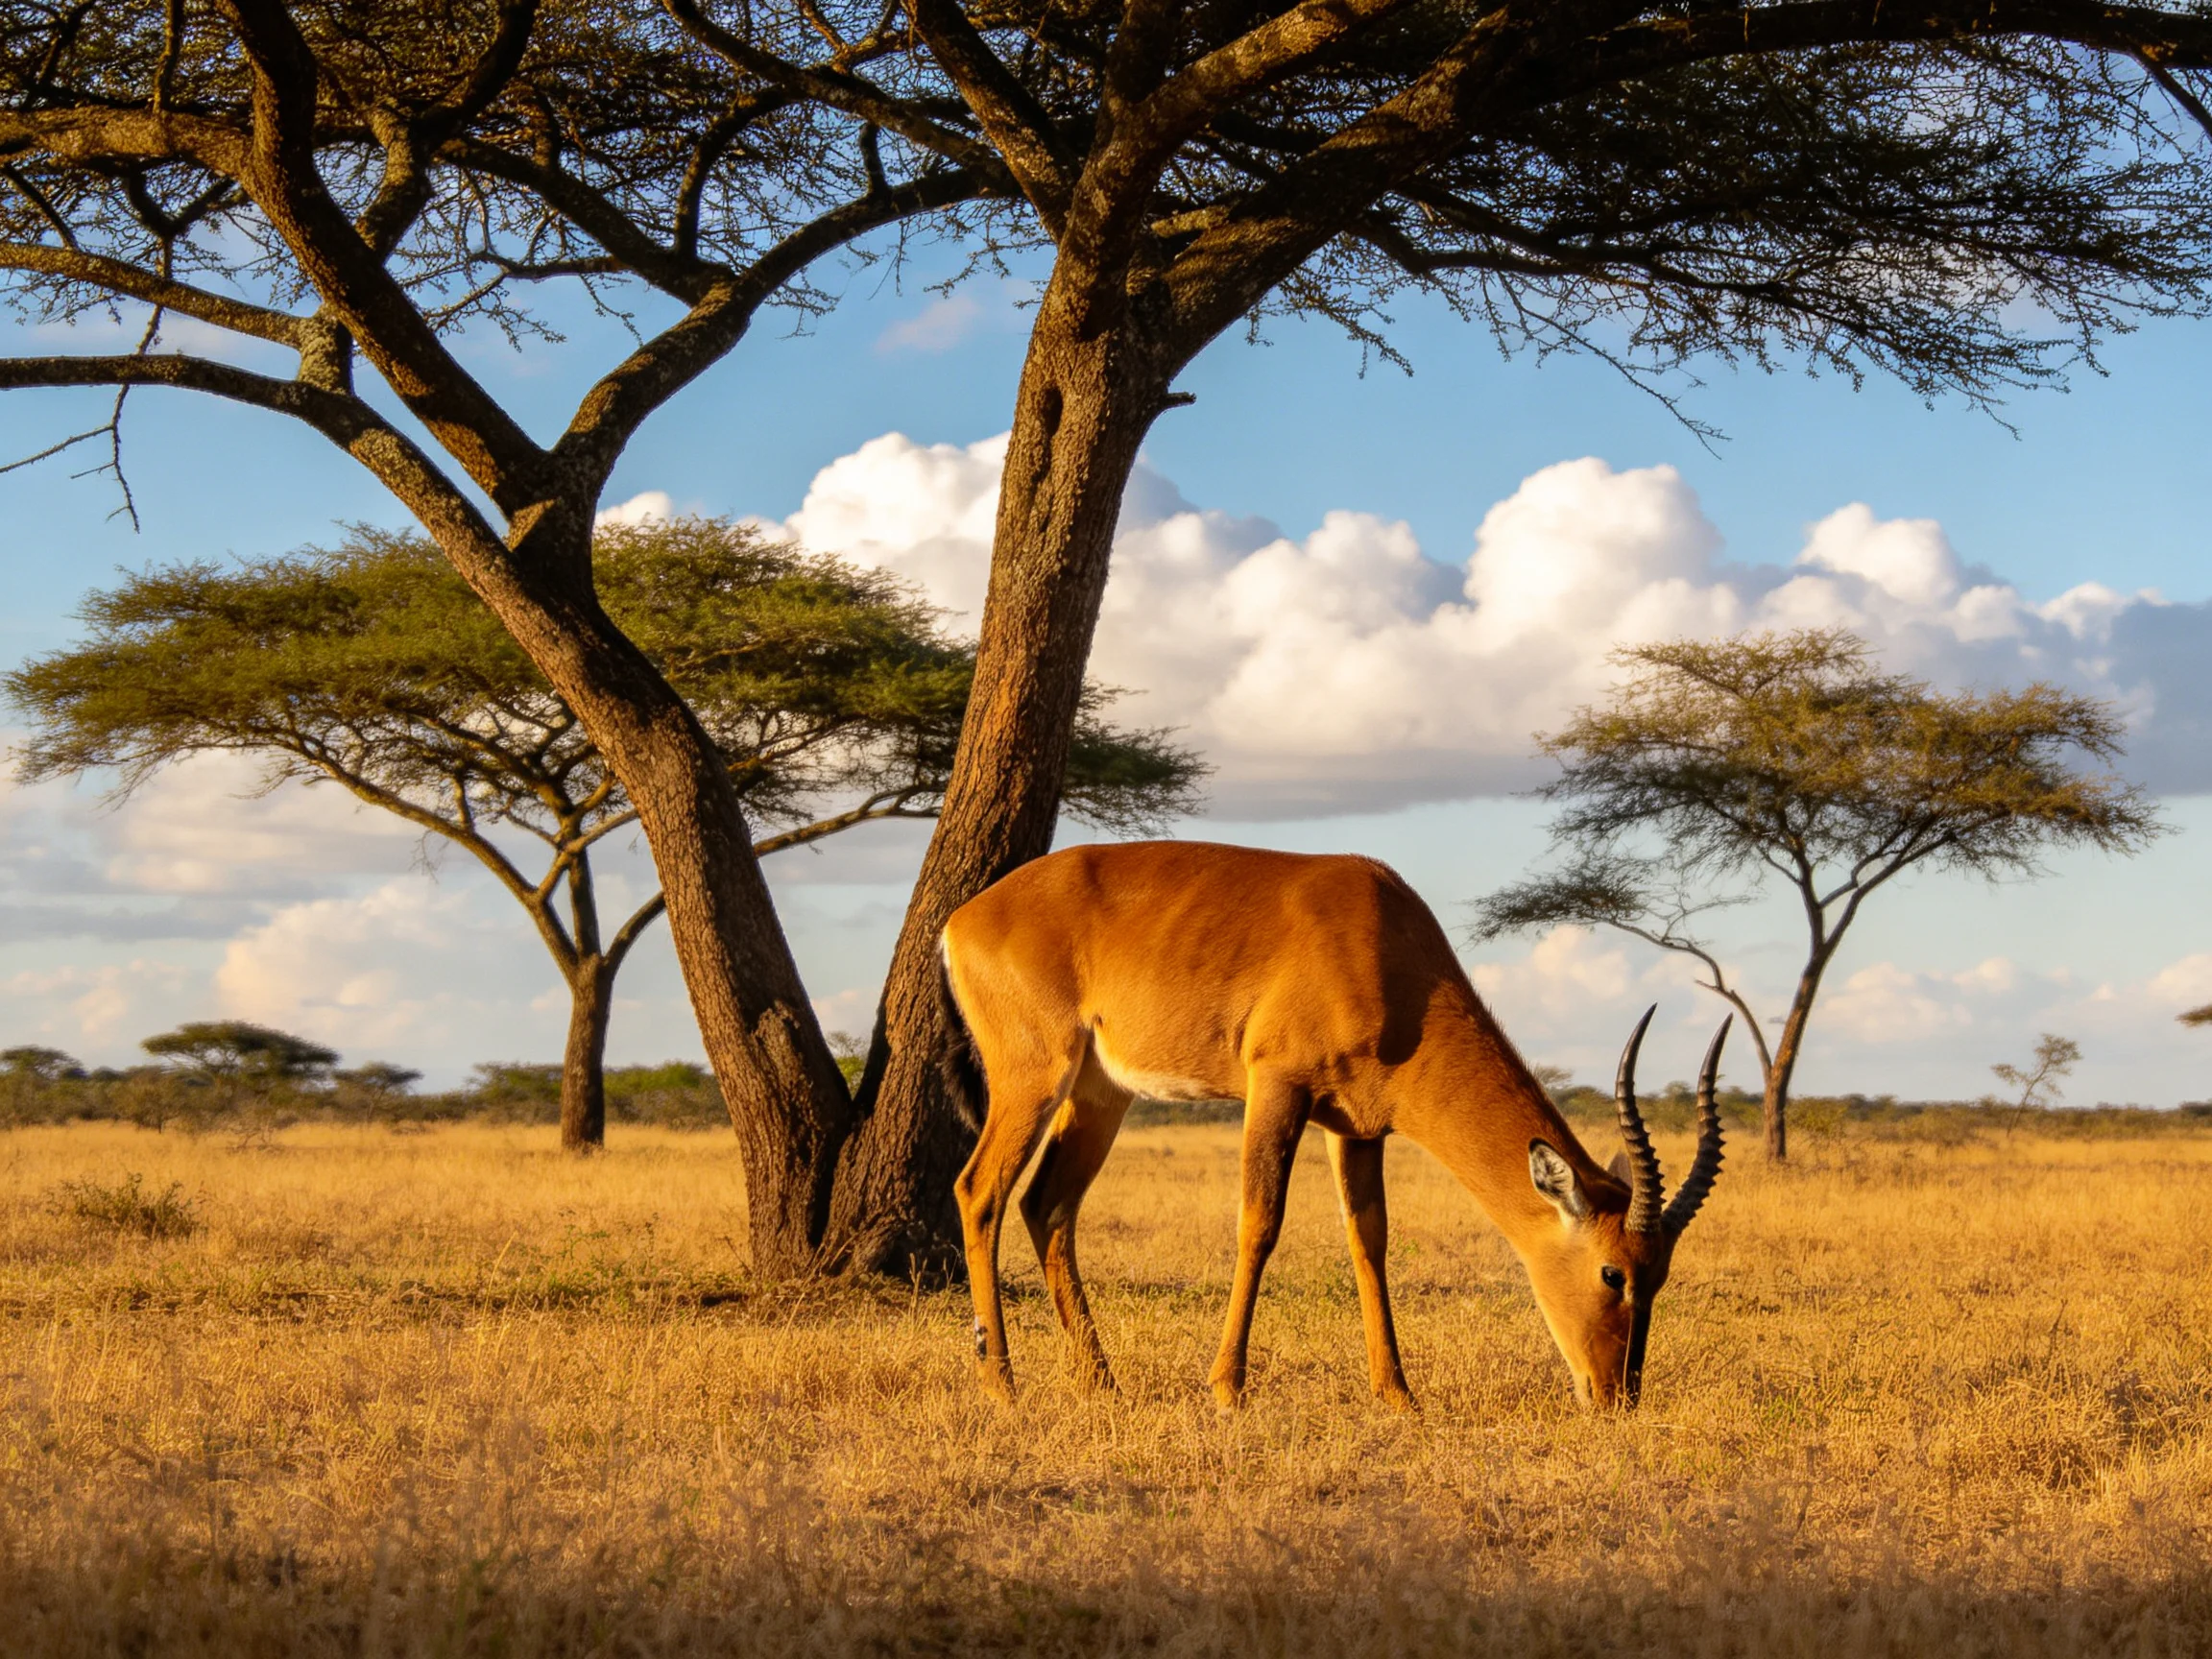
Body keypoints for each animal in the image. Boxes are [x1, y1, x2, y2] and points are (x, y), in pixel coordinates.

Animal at [939, 840, 1728, 1411]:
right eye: (1612, 1273)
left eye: (1659, 1276)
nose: (1618, 1395)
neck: (1387, 955)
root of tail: (962, 919)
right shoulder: (1276, 1087)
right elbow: (1260, 1223)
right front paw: (1227, 1390)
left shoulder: (1358, 1126)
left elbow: (1369, 1241)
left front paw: (1397, 1395)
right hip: (1035, 1077)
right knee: (979, 1191)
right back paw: (1002, 1386)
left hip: (1102, 1093)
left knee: (1047, 1203)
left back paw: (1102, 1383)